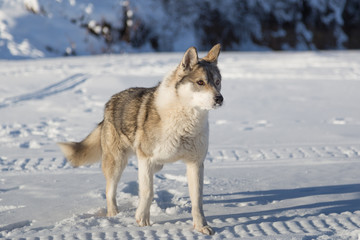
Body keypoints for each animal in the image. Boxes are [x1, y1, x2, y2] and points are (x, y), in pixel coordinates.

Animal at [58, 43, 224, 234]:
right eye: (200, 82)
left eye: (217, 82)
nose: (219, 99)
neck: (185, 120)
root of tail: (110, 102)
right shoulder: (146, 159)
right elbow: (147, 191)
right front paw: (143, 221)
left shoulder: (195, 163)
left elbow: (197, 199)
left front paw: (201, 226)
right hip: (117, 162)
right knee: (110, 190)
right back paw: (113, 214)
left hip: (154, 164)